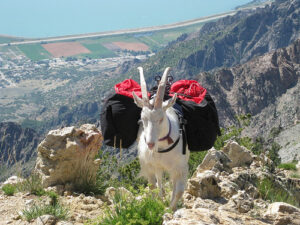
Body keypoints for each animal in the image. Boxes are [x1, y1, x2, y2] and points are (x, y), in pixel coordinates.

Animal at [132, 66, 190, 210]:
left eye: (161, 118)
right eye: (142, 119)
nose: (150, 144)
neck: (162, 147)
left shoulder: (180, 167)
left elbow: (179, 190)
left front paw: (170, 209)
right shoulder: (149, 165)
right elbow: (153, 186)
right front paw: (156, 203)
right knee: (159, 180)